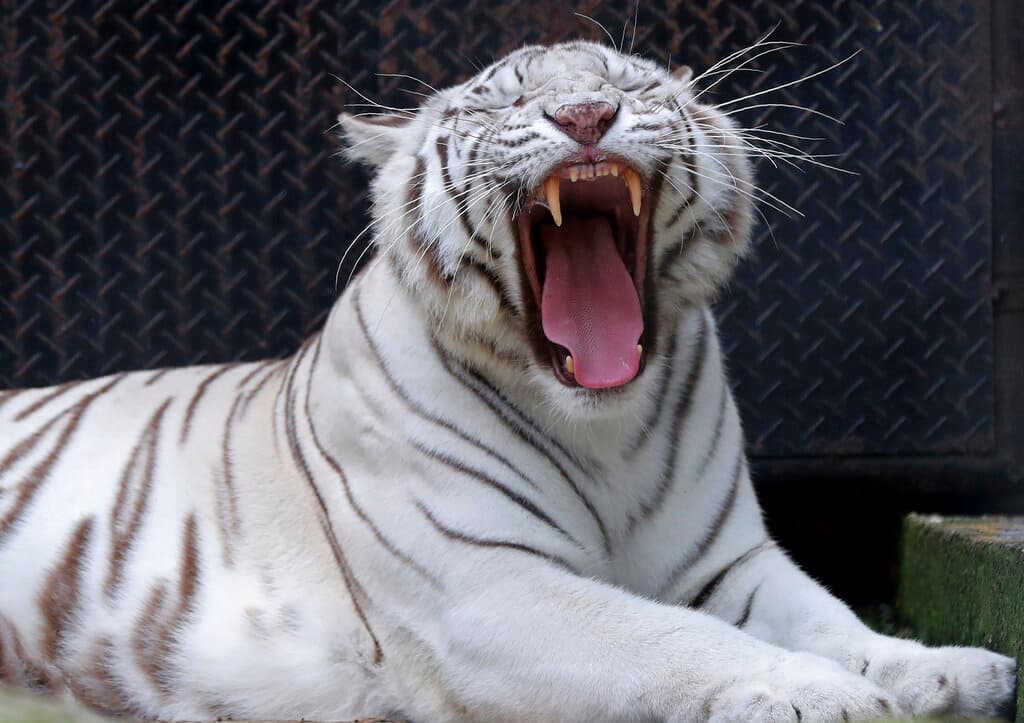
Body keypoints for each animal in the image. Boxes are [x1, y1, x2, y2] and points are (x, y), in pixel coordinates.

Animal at [0, 39, 1016, 723]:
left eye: (627, 86)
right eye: (505, 105)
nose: (587, 118)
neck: (605, 426)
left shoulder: (725, 561)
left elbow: (828, 614)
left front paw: (941, 669)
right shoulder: (484, 584)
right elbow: (673, 637)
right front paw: (812, 689)